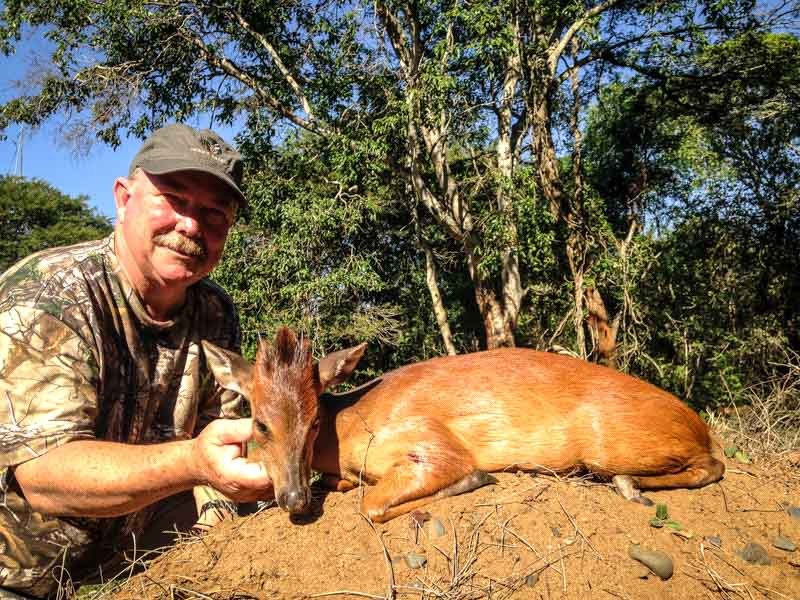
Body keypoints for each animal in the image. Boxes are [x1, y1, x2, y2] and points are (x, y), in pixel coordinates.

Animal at [205, 328, 724, 520]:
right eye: (260, 424)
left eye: (315, 422)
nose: (292, 498)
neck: (352, 426)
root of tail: (699, 424)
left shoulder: (430, 442)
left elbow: (374, 505)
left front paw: (473, 481)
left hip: (607, 441)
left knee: (710, 466)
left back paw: (629, 485)